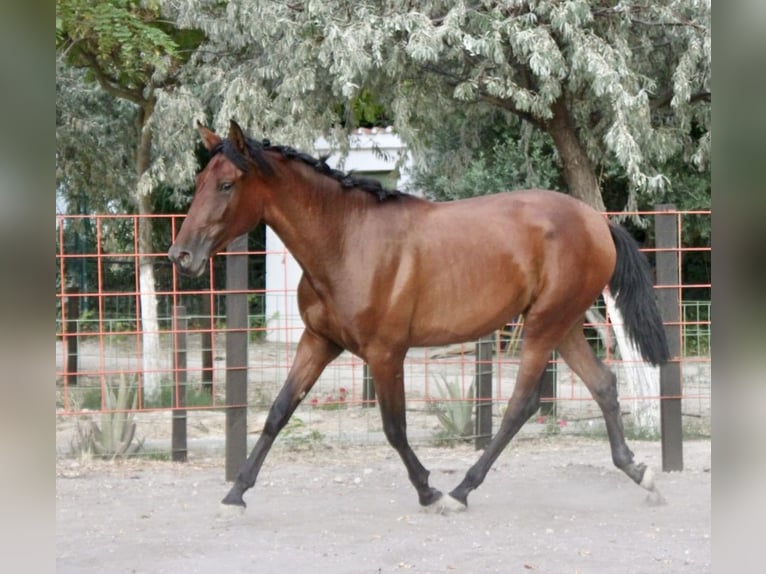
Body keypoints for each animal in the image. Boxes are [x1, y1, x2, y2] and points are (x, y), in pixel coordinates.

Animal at [170, 120, 672, 512]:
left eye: (227, 184)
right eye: (199, 181)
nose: (181, 256)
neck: (347, 240)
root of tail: (596, 222)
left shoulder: (385, 353)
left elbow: (394, 428)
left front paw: (428, 491)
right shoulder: (318, 341)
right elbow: (278, 412)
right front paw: (236, 492)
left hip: (544, 325)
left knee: (520, 406)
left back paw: (462, 490)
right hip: (562, 325)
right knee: (603, 384)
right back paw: (639, 473)